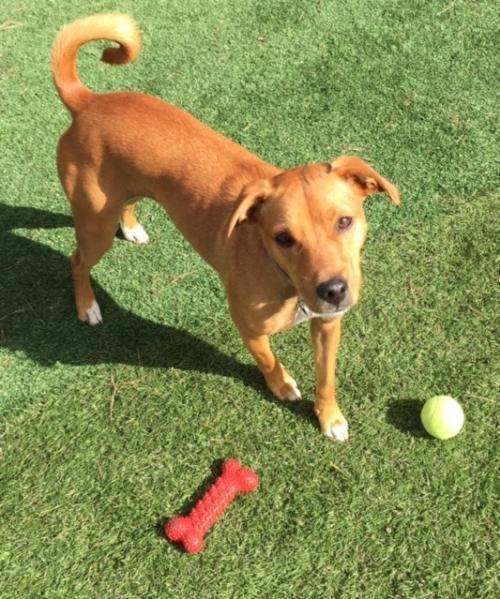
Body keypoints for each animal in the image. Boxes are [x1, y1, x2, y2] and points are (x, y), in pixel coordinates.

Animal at [52, 12, 400, 440]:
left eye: (345, 221)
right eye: (284, 238)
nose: (332, 290)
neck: (283, 277)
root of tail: (87, 102)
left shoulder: (328, 324)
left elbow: (326, 377)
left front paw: (329, 417)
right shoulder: (247, 325)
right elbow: (267, 359)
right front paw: (282, 385)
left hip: (124, 191)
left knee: (126, 207)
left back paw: (132, 229)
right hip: (95, 225)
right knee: (77, 260)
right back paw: (87, 306)